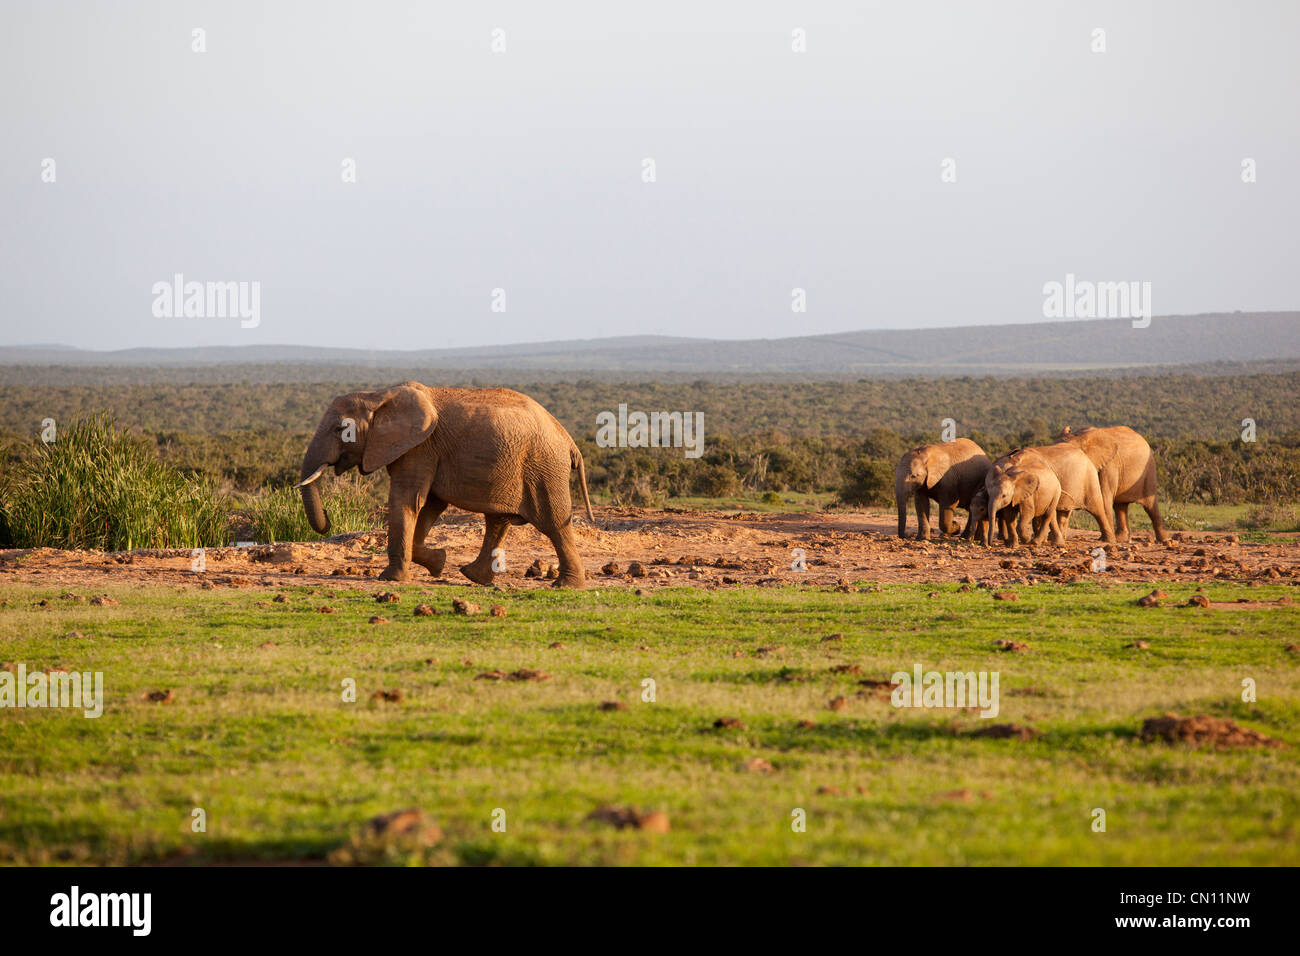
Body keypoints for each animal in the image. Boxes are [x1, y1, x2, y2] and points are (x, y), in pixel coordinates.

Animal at [296, 382, 595, 590]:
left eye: (339, 429)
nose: (329, 520)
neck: (378, 395)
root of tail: (570, 441)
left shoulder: (420, 447)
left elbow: (407, 500)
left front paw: (391, 579)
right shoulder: (424, 450)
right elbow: (429, 504)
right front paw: (439, 562)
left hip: (543, 467)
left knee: (553, 522)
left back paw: (566, 585)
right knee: (498, 520)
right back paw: (473, 576)